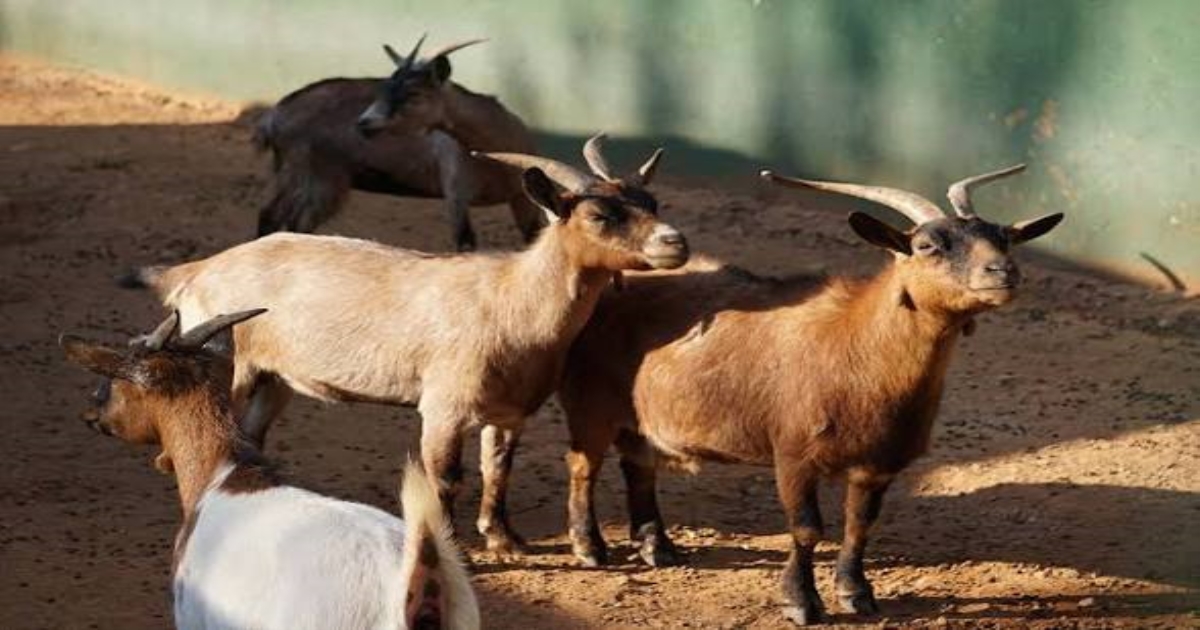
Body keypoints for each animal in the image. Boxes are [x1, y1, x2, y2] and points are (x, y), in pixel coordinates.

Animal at [121, 135, 689, 554]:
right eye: (599, 216)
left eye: (652, 202)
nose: (675, 242)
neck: (510, 300)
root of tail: (196, 271)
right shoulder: (443, 406)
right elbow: (445, 478)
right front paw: (460, 548)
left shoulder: (509, 411)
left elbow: (498, 470)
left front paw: (505, 540)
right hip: (229, 365)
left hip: (274, 378)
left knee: (252, 432)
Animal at [255, 36, 539, 251]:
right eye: (384, 89)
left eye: (413, 93)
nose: (364, 123)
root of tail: (275, 115)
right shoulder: (456, 192)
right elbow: (465, 244)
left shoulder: (520, 197)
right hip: (318, 178)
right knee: (294, 224)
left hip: (295, 175)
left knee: (270, 215)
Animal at [558, 165, 1063, 625]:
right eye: (927, 246)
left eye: (1005, 238)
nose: (1003, 271)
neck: (857, 349)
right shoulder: (794, 455)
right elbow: (806, 529)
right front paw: (800, 602)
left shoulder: (878, 464)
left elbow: (860, 525)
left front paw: (856, 594)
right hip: (589, 403)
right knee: (584, 465)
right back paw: (590, 547)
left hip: (639, 417)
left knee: (638, 465)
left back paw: (657, 546)